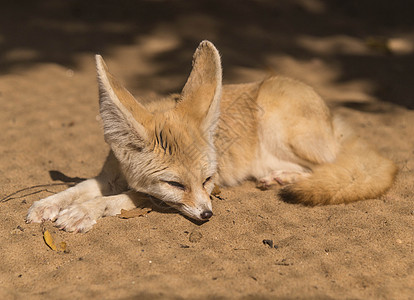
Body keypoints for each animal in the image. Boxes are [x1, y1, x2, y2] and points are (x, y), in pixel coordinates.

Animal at [25, 40, 394, 232]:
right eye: (176, 183)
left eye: (207, 180)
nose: (207, 215)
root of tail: (336, 121)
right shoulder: (109, 176)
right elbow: (78, 187)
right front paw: (48, 204)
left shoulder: (158, 194)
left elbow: (121, 199)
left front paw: (83, 212)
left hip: (280, 124)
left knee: (329, 167)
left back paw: (284, 178)